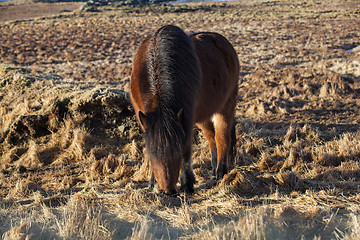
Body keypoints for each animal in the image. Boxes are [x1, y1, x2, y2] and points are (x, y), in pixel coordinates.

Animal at [129, 25, 239, 195]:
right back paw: (214, 171)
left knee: (222, 138)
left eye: (176, 152)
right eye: (154, 154)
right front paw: (152, 185)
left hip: (225, 107)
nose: (168, 191)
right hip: (204, 115)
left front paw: (187, 185)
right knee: (211, 138)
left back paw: (221, 172)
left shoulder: (186, 119)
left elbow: (186, 153)